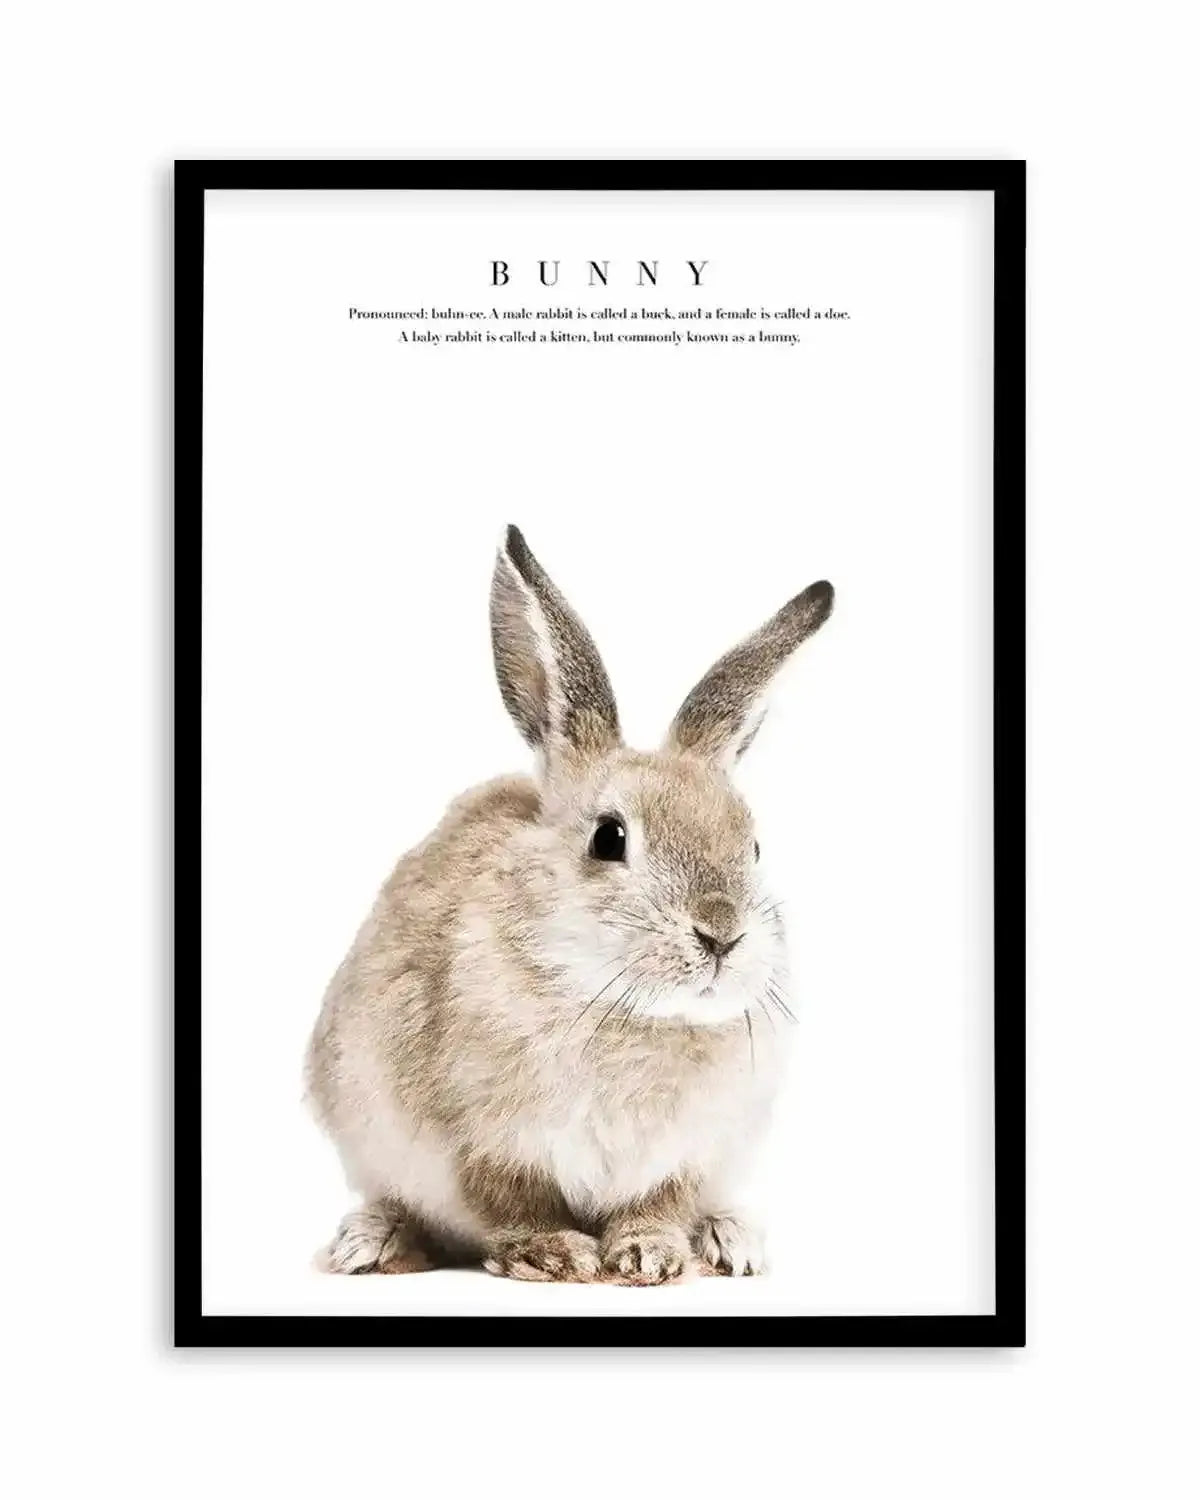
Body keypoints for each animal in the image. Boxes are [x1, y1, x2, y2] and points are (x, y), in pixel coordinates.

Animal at [305, 525, 833, 1285]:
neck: (623, 1009)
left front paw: (651, 1256)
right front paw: (554, 1254)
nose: (721, 934)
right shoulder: (480, 1145)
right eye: (609, 838)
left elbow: (660, 1205)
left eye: (754, 846)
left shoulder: (688, 1154)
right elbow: (511, 1204)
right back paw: (370, 1243)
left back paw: (731, 1241)